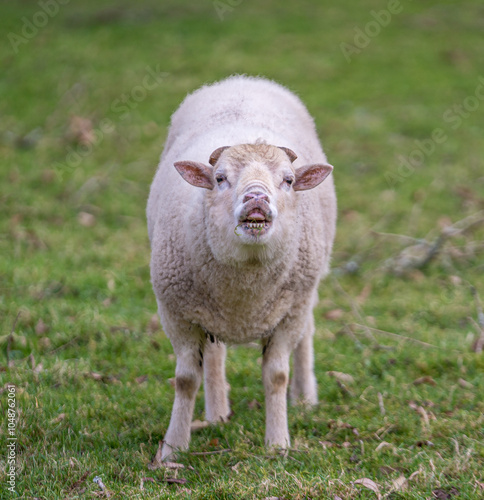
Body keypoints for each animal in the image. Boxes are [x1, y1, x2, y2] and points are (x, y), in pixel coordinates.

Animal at [147, 75, 336, 460]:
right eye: (220, 178)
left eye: (289, 180)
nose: (257, 199)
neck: (245, 288)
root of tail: (243, 80)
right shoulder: (175, 311)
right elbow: (186, 379)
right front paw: (173, 449)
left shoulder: (290, 313)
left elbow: (276, 375)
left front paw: (277, 444)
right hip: (207, 309)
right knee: (214, 355)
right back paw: (217, 413)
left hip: (307, 288)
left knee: (307, 333)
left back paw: (305, 399)